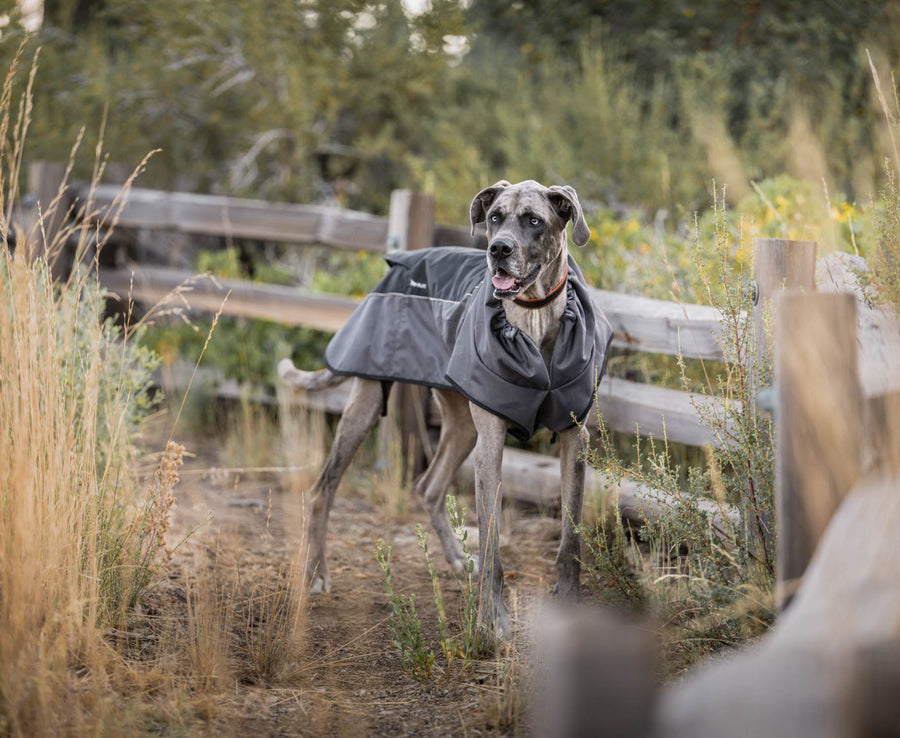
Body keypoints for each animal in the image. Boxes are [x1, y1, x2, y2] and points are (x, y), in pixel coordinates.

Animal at [276, 180, 612, 640]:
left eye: (533, 220)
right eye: (494, 217)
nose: (498, 249)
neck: (534, 317)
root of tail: (398, 266)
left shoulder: (574, 439)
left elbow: (570, 538)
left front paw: (570, 606)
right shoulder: (491, 443)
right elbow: (491, 539)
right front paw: (493, 619)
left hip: (461, 426)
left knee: (428, 487)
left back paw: (455, 558)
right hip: (368, 405)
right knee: (321, 489)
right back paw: (316, 572)